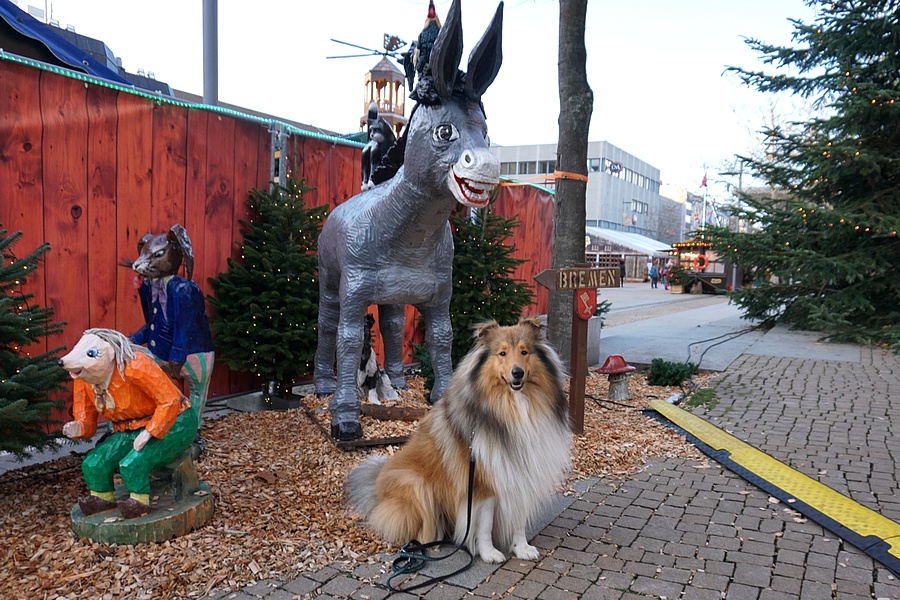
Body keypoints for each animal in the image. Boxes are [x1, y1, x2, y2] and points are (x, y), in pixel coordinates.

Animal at [348, 318, 572, 564]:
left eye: (524, 351)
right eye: (502, 353)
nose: (517, 373)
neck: (513, 406)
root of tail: (376, 487)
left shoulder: (520, 474)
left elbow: (518, 520)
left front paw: (522, 548)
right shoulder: (482, 483)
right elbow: (484, 525)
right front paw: (489, 552)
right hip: (416, 484)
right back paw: (430, 544)